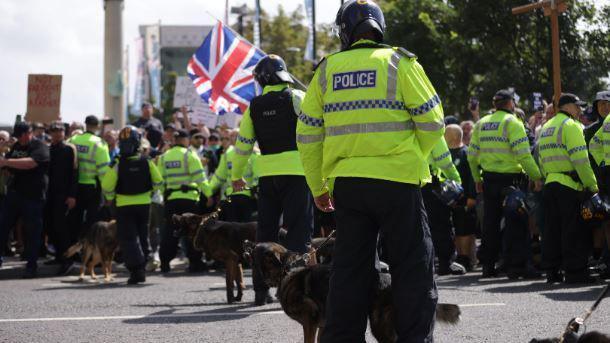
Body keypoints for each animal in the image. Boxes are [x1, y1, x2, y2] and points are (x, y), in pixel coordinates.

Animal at [249, 242, 458, 343]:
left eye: (258, 248)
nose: (246, 244)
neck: (286, 271)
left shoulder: (310, 322)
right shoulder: (323, 325)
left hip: (379, 324)